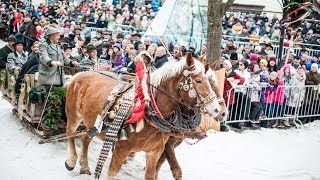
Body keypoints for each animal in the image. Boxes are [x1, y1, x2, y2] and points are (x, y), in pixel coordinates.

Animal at [63, 53, 221, 180]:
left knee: (85, 138)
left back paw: (84, 167)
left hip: (93, 124)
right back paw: (71, 161)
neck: (151, 113)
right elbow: (111, 173)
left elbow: (152, 174)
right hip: (74, 115)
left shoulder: (155, 152)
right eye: (199, 81)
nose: (217, 109)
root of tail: (79, 74)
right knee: (70, 133)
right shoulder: (121, 149)